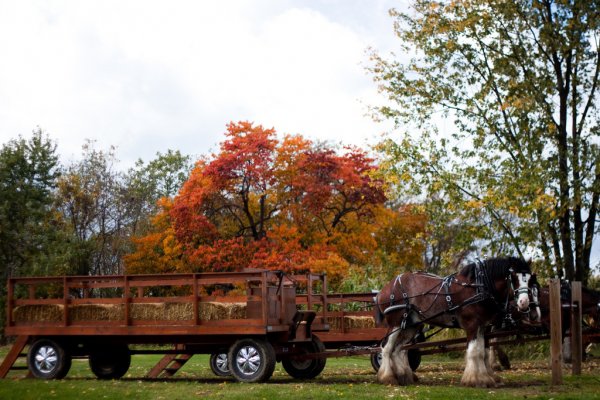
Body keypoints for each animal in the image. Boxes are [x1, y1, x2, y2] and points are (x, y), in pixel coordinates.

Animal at [376, 258, 536, 386]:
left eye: (529, 279)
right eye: (514, 278)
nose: (524, 303)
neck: (479, 287)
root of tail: (384, 290)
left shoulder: (483, 327)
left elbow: (482, 352)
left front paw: (488, 377)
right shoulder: (472, 325)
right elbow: (474, 351)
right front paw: (475, 380)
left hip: (410, 326)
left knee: (398, 349)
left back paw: (404, 376)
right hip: (395, 323)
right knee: (386, 348)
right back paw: (388, 377)